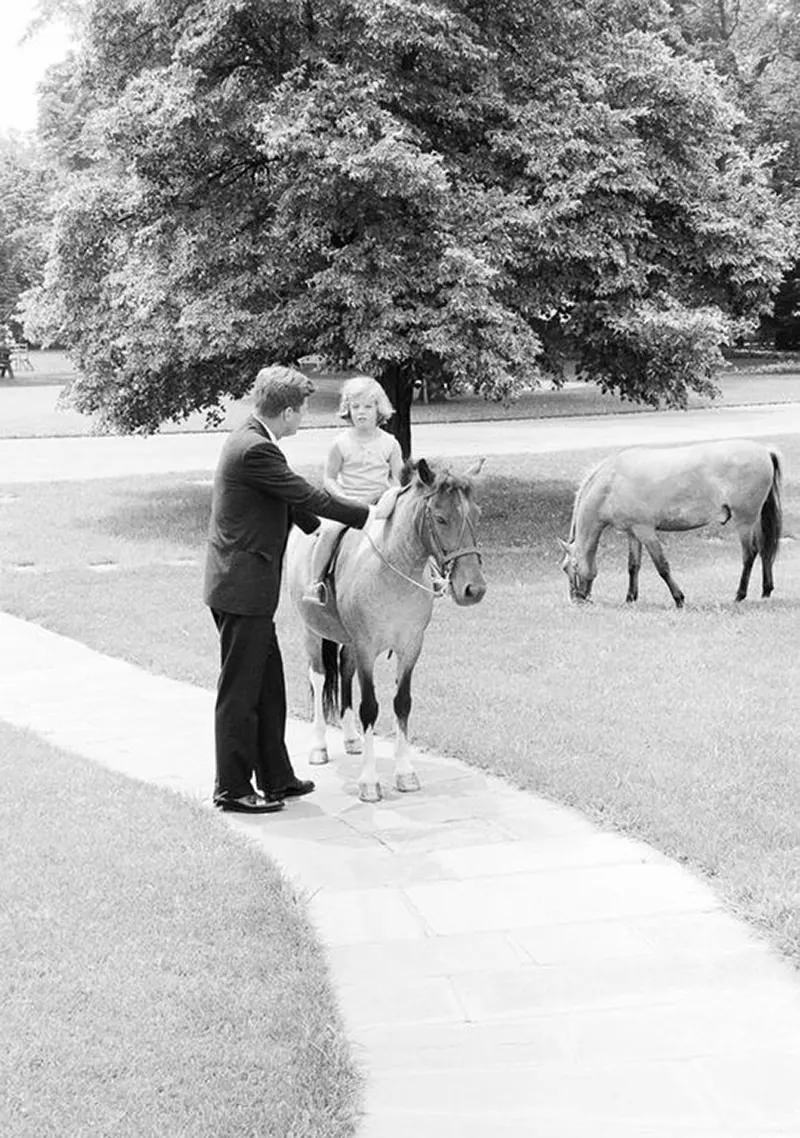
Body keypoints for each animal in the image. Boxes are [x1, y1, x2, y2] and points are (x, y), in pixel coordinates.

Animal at [287, 455, 487, 801]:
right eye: (440, 518)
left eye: (475, 514)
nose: (473, 589)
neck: (393, 569)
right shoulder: (367, 648)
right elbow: (370, 707)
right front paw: (369, 782)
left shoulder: (410, 648)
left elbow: (402, 704)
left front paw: (405, 772)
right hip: (313, 632)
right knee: (319, 677)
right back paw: (319, 746)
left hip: (350, 643)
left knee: (345, 670)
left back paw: (351, 738)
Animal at [564, 439, 782, 609]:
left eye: (569, 568)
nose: (577, 599)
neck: (611, 483)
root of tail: (764, 451)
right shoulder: (633, 533)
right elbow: (633, 566)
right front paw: (630, 598)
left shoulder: (646, 532)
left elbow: (662, 567)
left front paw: (679, 598)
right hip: (754, 519)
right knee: (764, 549)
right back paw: (766, 590)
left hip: (744, 520)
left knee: (749, 554)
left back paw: (740, 594)